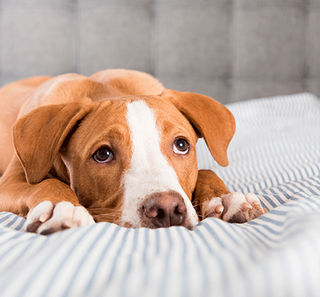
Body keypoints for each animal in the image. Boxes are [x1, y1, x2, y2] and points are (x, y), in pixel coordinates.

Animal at [0, 69, 264, 234]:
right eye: (103, 155)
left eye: (181, 145)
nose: (167, 209)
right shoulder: (8, 184)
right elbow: (46, 183)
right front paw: (62, 206)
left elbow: (206, 170)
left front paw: (225, 198)